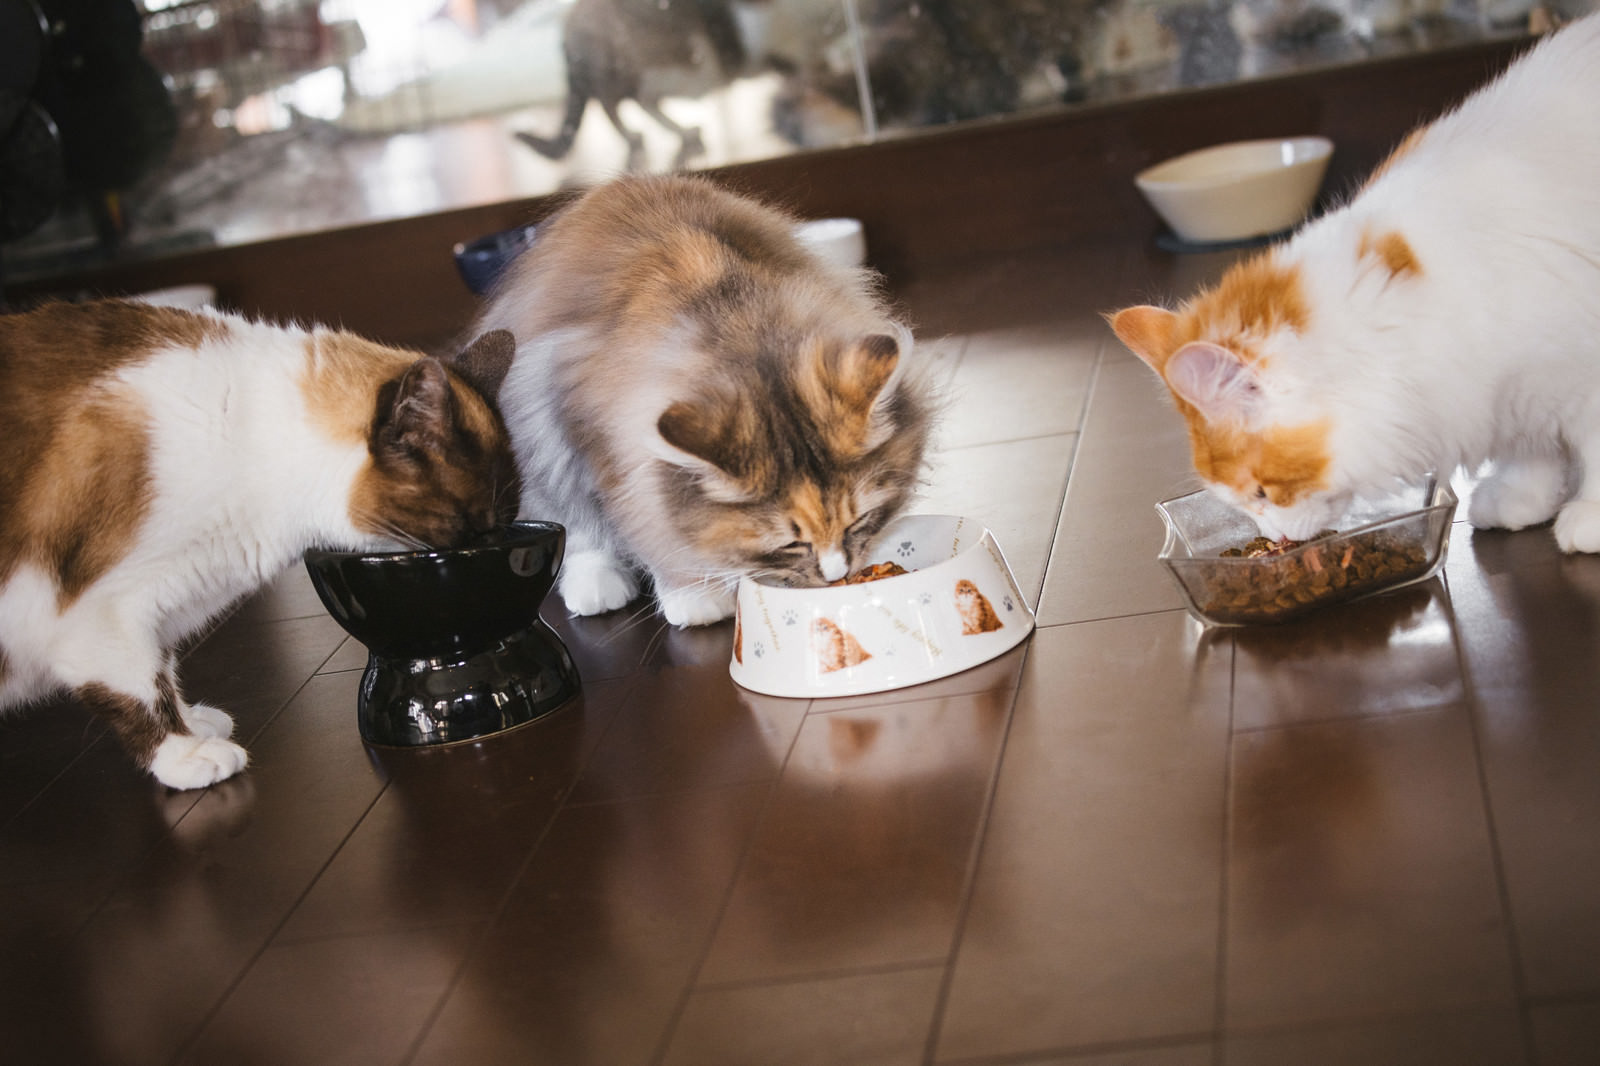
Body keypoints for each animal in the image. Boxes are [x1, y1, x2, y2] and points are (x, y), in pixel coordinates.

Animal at [1, 300, 518, 787]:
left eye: (500, 525)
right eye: (469, 526)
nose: (490, 545)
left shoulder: (154, 610)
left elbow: (162, 664)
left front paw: (195, 723)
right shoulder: (94, 615)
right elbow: (140, 689)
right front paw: (185, 754)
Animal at [467, 171, 934, 627]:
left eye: (859, 520)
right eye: (789, 544)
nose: (836, 574)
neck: (744, 339)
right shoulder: (601, 447)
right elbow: (650, 530)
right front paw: (694, 595)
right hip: (534, 425)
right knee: (574, 527)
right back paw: (597, 588)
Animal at [1107, 14, 1600, 547]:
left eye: (1261, 491)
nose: (1276, 538)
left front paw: (1588, 515)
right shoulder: (1504, 397)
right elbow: (1532, 453)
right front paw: (1522, 500)